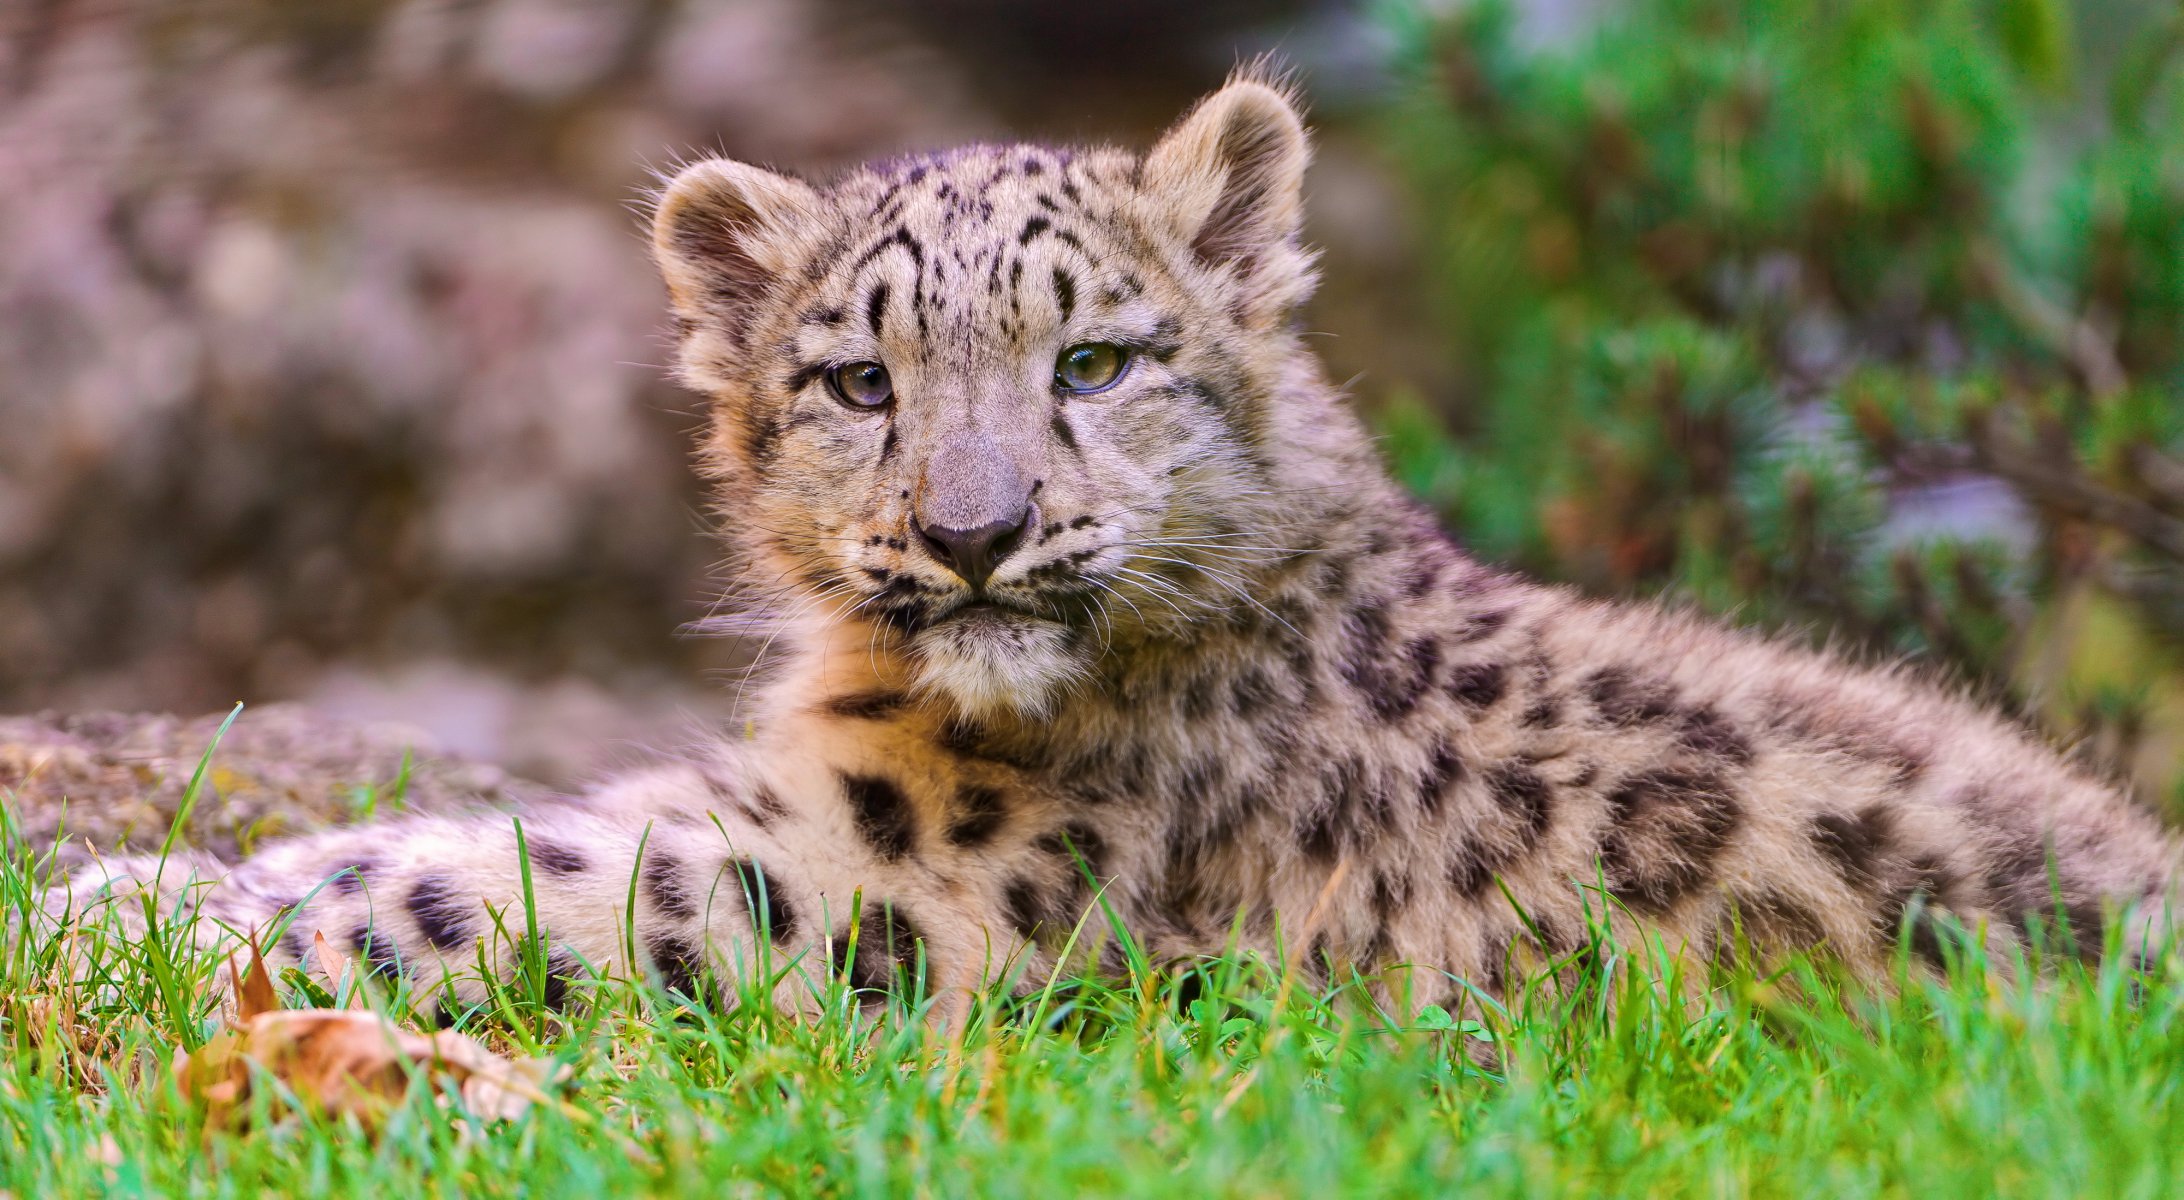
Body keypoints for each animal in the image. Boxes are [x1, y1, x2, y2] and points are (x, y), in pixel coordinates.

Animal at [39, 70, 2184, 1025]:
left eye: (1091, 358)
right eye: (857, 379)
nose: (976, 533)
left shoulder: (894, 886)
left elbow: (520, 877)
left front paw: (126, 915)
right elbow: (444, 826)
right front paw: (140, 875)